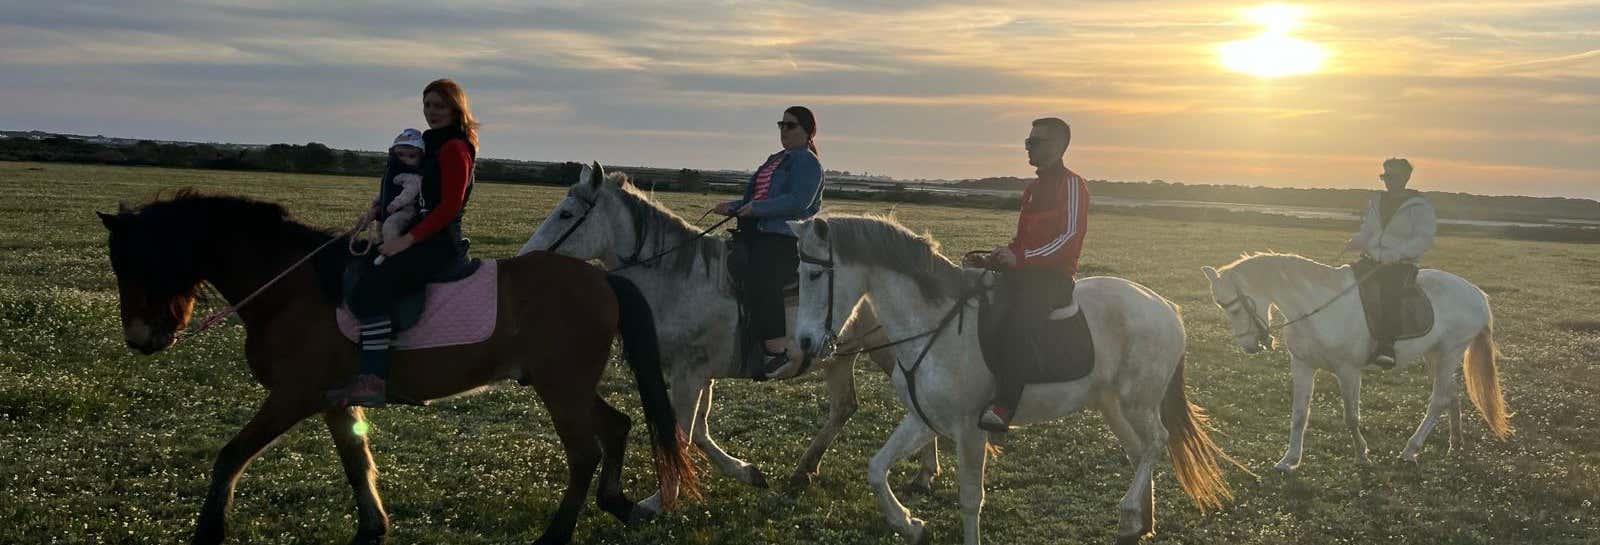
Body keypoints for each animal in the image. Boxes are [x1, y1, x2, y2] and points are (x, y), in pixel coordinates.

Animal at [96, 187, 697, 543]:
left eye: (137, 261)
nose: (140, 339)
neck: (293, 289)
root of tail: (601, 277)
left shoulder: (292, 396)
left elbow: (230, 456)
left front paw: (209, 531)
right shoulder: (333, 400)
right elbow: (356, 464)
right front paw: (371, 529)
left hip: (561, 386)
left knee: (584, 452)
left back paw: (556, 535)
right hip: (566, 383)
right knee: (616, 426)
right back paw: (622, 505)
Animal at [793, 214, 1241, 543]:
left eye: (815, 275)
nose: (805, 342)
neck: (936, 324)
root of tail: (1165, 307)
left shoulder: (969, 428)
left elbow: (970, 498)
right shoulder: (924, 419)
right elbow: (876, 468)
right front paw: (910, 524)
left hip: (1139, 401)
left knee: (1158, 443)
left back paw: (1131, 512)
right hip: (1112, 405)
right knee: (1139, 450)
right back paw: (1139, 525)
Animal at [1203, 252, 1510, 469]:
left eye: (1233, 308)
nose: (1249, 346)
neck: (1318, 308)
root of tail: (1477, 294)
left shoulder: (1348, 370)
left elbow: (1351, 417)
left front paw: (1362, 454)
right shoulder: (1303, 366)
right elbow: (1299, 415)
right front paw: (1289, 460)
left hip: (1449, 353)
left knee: (1438, 400)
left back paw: (1411, 449)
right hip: (1435, 355)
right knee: (1451, 394)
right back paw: (1454, 443)